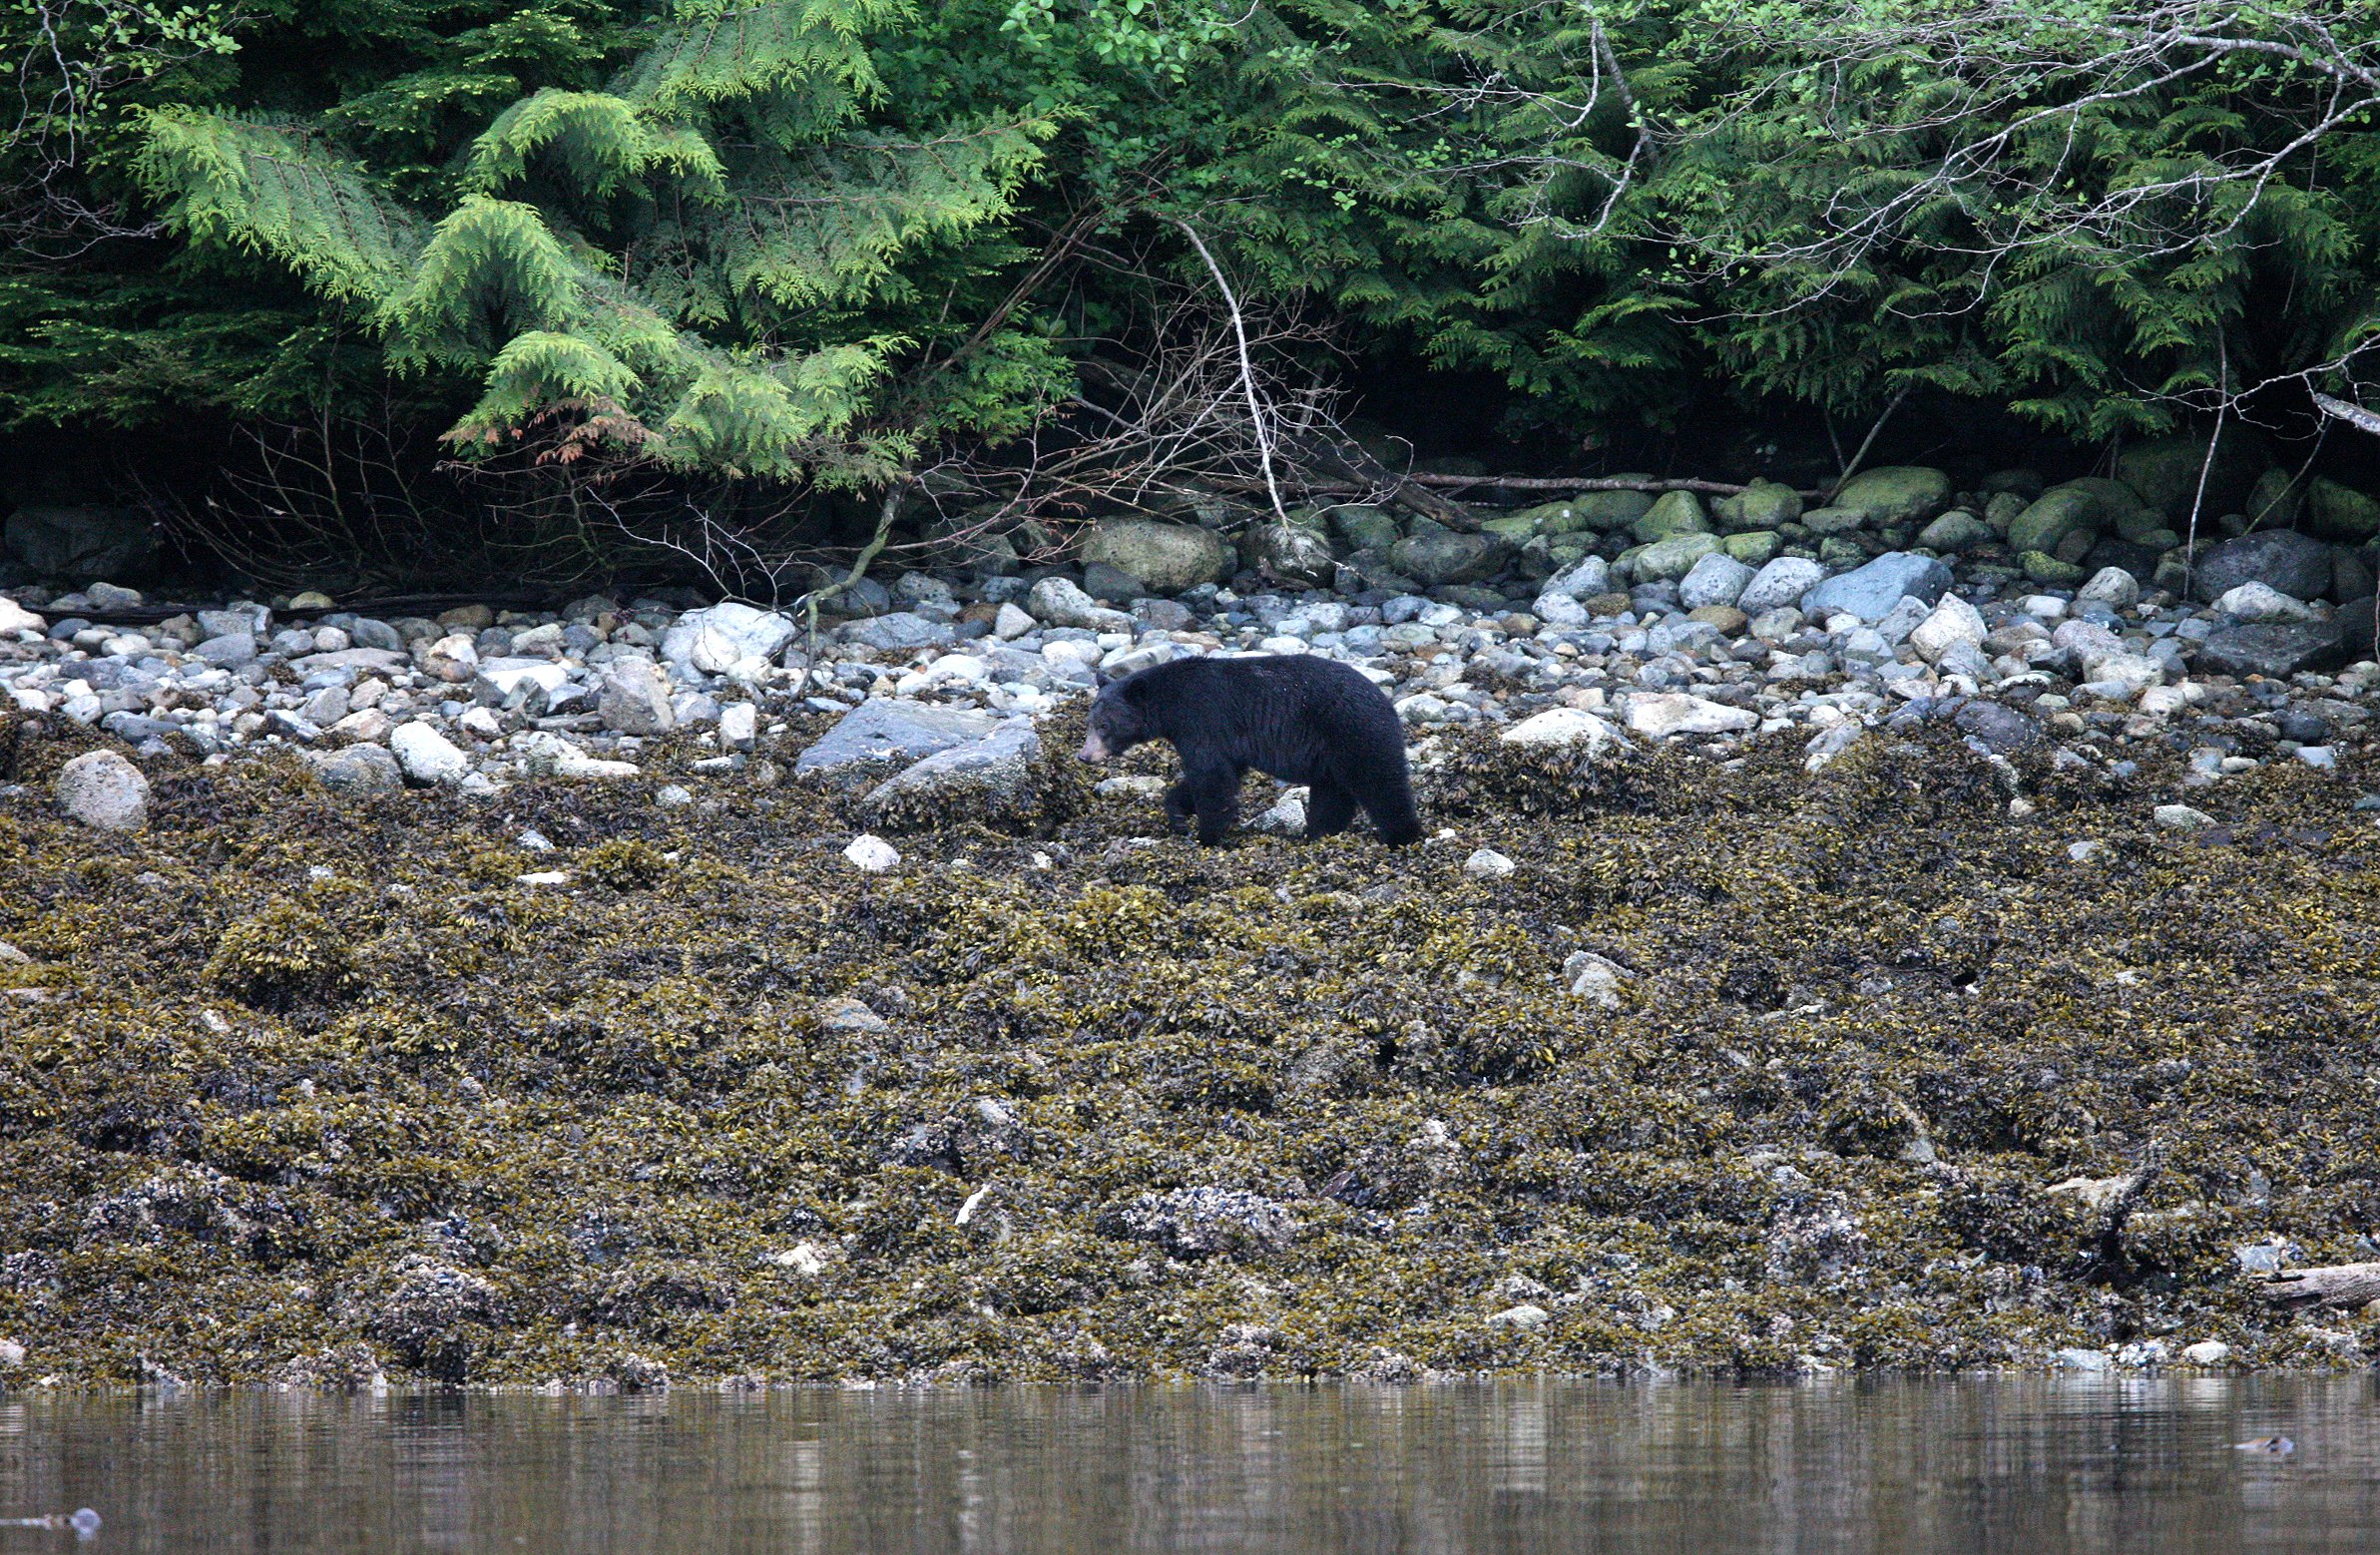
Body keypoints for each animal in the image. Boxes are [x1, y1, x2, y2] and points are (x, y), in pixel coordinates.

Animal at [1077, 654, 1422, 846]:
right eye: (1089, 722)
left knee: (1381, 783)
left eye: (1104, 726)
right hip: (1332, 753)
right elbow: (1218, 773)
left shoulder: (1203, 719)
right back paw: (1318, 836)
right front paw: (1178, 815)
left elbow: (1212, 777)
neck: (1169, 703)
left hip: (1355, 732)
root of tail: (1388, 703)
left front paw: (1208, 836)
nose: (1084, 756)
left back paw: (1404, 836)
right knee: (1332, 795)